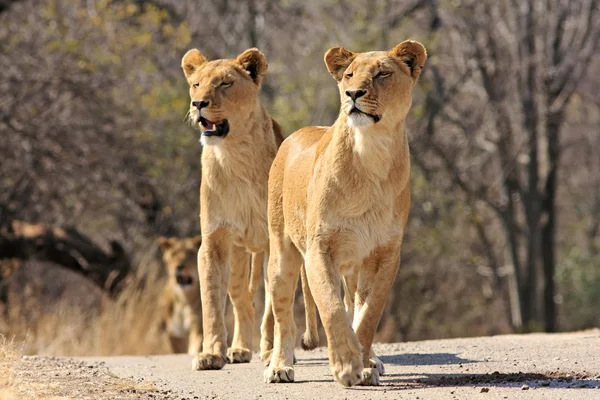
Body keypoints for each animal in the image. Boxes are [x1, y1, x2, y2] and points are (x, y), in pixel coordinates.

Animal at [180, 48, 322, 370]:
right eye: (196, 84)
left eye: (225, 83)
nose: (198, 104)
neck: (234, 157)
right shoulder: (213, 241)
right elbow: (211, 302)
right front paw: (211, 353)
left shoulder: (273, 241)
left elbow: (271, 305)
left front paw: (271, 352)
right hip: (237, 254)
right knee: (240, 300)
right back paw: (239, 348)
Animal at [262, 40, 426, 388]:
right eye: (349, 75)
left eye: (382, 74)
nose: (352, 93)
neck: (371, 152)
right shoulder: (319, 249)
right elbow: (331, 308)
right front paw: (347, 366)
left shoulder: (386, 254)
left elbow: (368, 314)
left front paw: (362, 365)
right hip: (282, 254)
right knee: (283, 315)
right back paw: (279, 366)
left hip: (353, 267)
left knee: (354, 302)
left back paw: (372, 359)